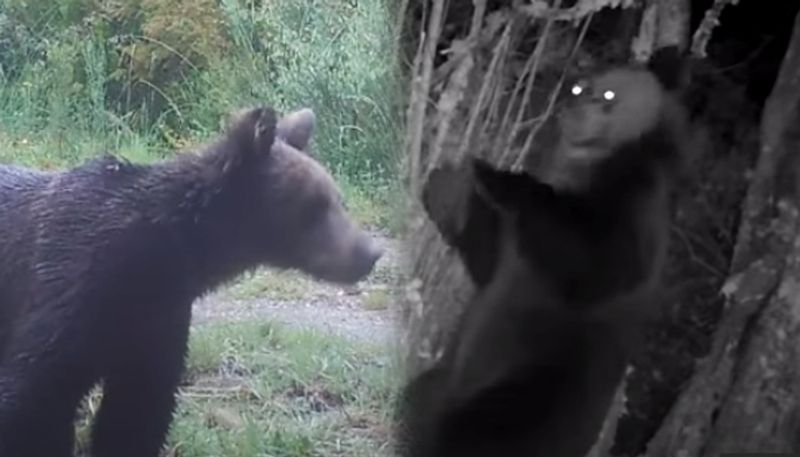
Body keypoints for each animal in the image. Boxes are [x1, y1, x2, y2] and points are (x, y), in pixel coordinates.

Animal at [0, 105, 384, 454]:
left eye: (337, 198)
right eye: (314, 205)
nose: (369, 252)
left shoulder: (157, 320)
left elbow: (136, 412)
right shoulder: (69, 290)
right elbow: (32, 400)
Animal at [396, 46, 692, 456]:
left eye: (609, 94)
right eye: (578, 86)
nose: (571, 111)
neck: (593, 166)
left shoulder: (633, 210)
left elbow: (596, 265)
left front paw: (497, 176)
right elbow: (490, 260)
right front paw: (447, 188)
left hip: (532, 396)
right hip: (447, 382)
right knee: (419, 403)